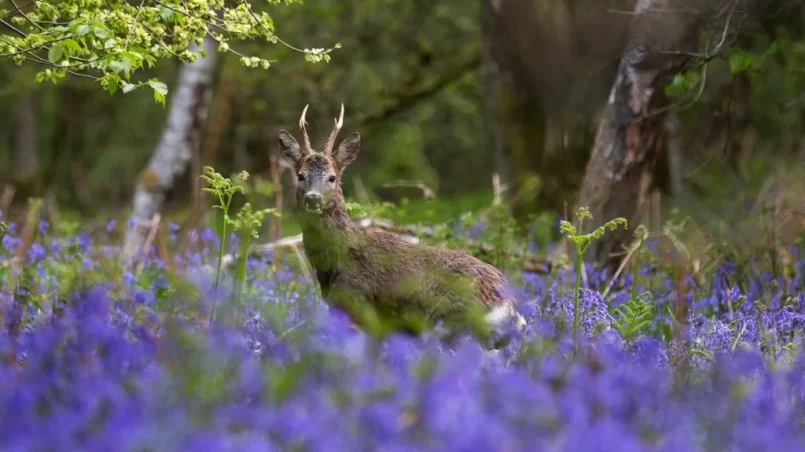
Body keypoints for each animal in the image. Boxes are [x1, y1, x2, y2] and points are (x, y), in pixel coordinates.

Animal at [278, 105, 528, 346]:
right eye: (300, 176)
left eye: (332, 177)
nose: (313, 199)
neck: (337, 260)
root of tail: (509, 305)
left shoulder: (356, 306)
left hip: (453, 325)